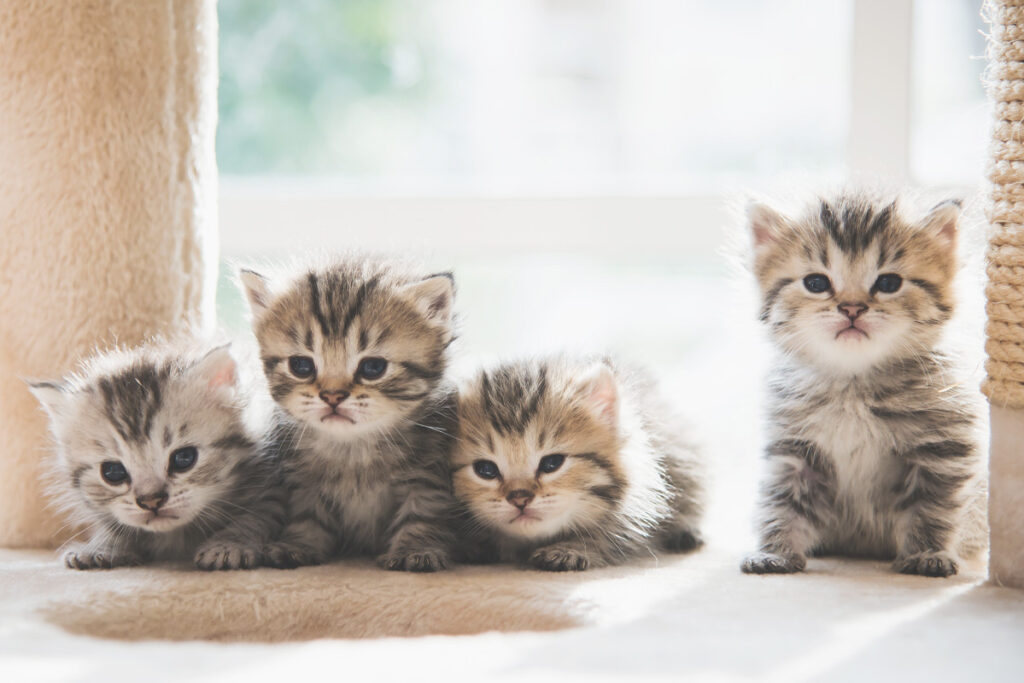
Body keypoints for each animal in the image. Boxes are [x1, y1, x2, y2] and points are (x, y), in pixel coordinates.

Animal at [29, 342, 286, 573]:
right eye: (112, 472)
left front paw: (229, 544)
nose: (151, 501)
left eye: (184, 458)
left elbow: (255, 517)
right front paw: (102, 546)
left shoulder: (273, 487)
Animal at [239, 255, 456, 573]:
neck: (353, 447)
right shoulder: (304, 482)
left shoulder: (426, 476)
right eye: (301, 366)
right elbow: (308, 516)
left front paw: (415, 548)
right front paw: (298, 544)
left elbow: (421, 513)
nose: (332, 396)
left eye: (373, 367)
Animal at [741, 191, 987, 577]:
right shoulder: (793, 451)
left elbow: (933, 506)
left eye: (888, 284)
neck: (853, 383)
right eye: (816, 283)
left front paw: (926, 553)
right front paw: (776, 552)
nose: (852, 308)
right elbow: (781, 504)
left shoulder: (942, 449)